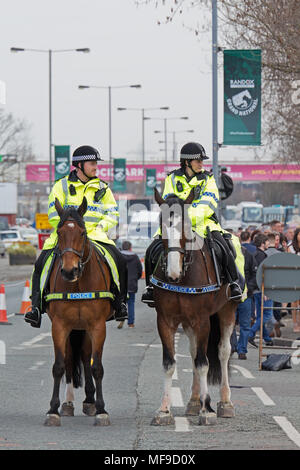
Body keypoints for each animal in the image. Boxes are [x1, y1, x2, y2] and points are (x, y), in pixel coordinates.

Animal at [44, 197, 113, 426]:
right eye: (59, 232)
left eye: (83, 233)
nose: (69, 271)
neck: (78, 284)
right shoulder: (59, 326)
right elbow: (59, 365)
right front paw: (53, 410)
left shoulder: (98, 326)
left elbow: (96, 366)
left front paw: (101, 409)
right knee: (71, 359)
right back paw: (68, 404)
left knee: (85, 356)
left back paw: (90, 401)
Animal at [151, 188, 238, 426]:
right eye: (161, 224)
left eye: (186, 225)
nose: (172, 272)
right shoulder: (165, 320)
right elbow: (169, 363)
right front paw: (164, 410)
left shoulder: (202, 320)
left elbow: (203, 363)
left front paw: (207, 410)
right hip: (188, 323)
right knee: (192, 352)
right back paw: (193, 401)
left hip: (227, 311)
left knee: (223, 351)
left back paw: (225, 403)